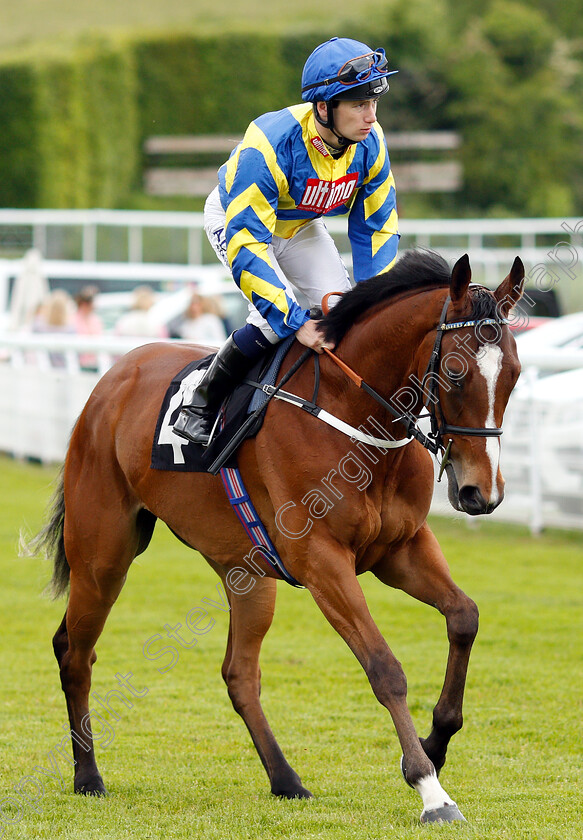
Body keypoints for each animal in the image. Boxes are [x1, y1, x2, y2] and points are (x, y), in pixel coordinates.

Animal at [29, 251, 528, 828]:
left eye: (514, 374)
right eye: (455, 372)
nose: (480, 492)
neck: (355, 419)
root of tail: (112, 377)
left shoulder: (400, 550)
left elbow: (464, 616)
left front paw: (437, 740)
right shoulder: (321, 561)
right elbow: (385, 668)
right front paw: (430, 789)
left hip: (246, 573)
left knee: (239, 674)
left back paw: (286, 780)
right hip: (102, 555)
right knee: (75, 652)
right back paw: (88, 777)